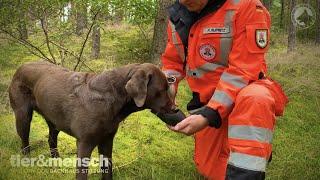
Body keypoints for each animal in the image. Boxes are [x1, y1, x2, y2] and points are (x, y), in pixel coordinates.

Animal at [8, 61, 175, 179]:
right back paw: (27, 160)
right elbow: (82, 174)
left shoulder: (107, 140)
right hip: (23, 116)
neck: (111, 98)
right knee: (24, 142)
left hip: (54, 120)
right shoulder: (85, 143)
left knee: (51, 139)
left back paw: (57, 161)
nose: (175, 109)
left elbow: (107, 170)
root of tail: (20, 67)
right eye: (162, 89)